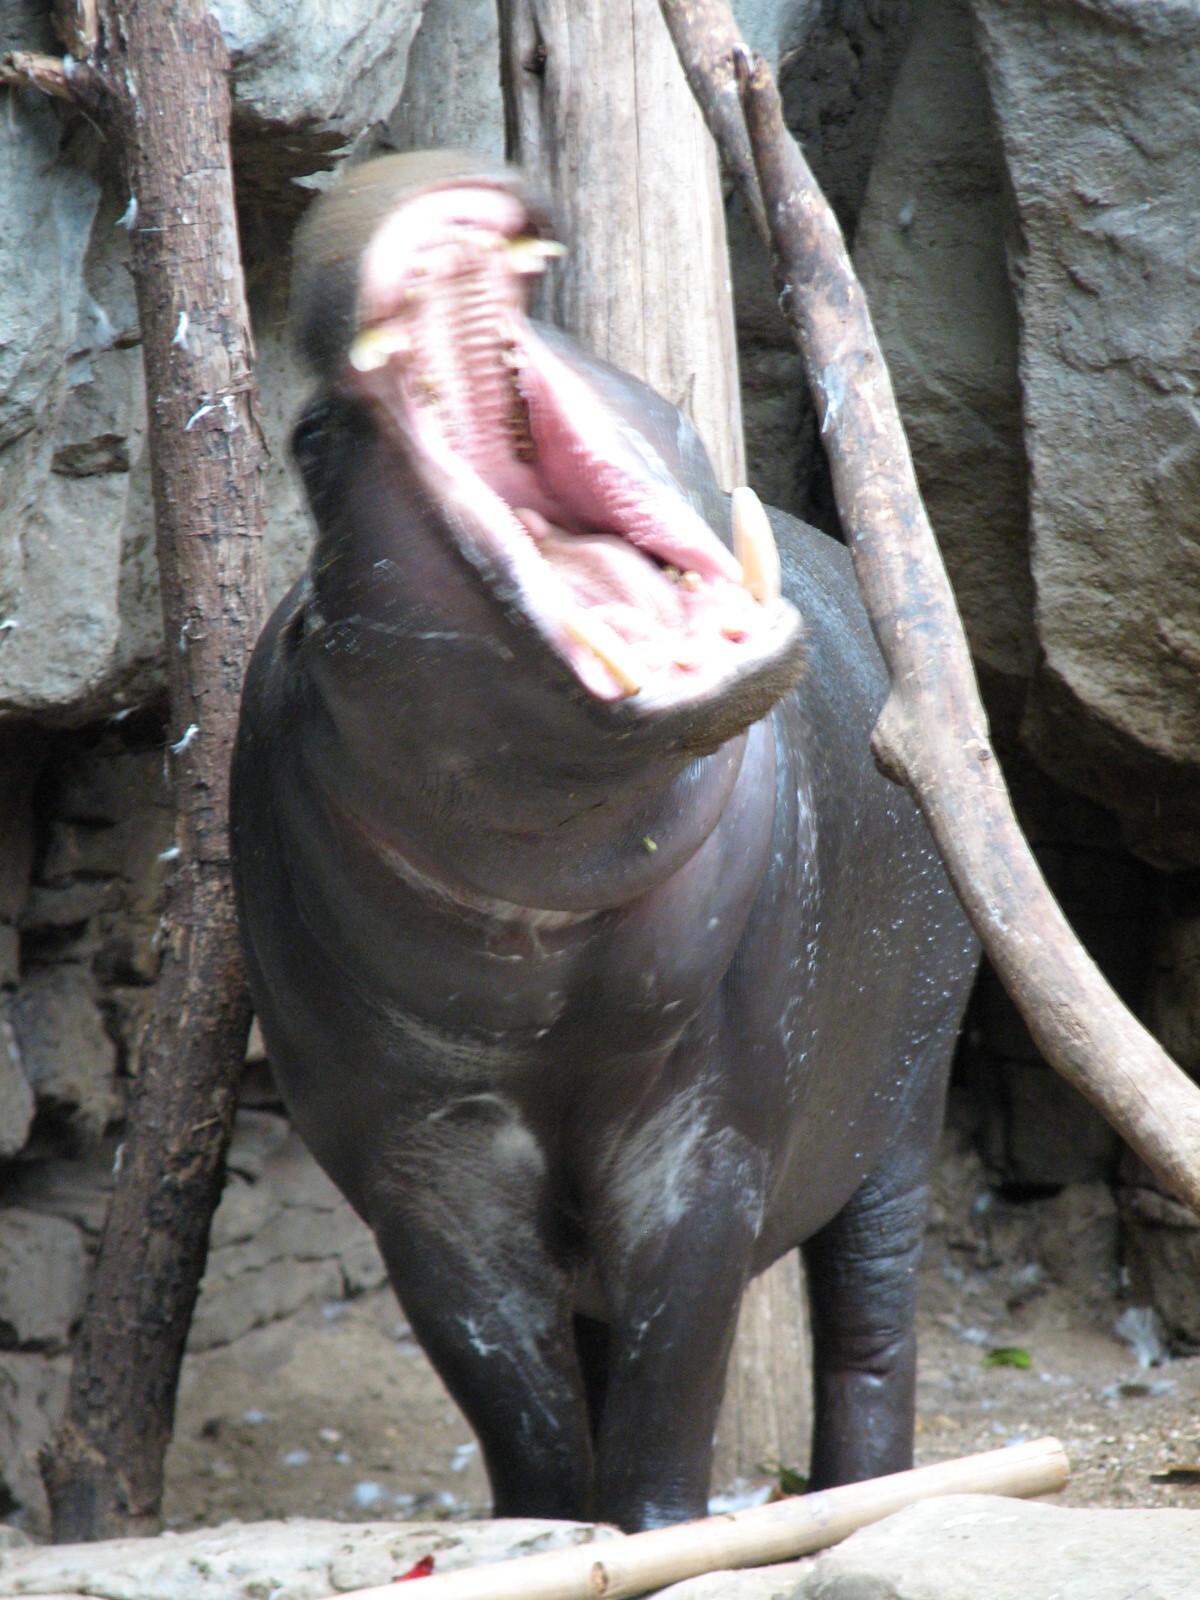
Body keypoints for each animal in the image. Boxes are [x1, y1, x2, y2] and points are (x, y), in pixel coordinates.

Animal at [230, 152, 978, 1533]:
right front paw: (539, 1533)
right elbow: (512, 1393)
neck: (548, 929)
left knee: (871, 1333)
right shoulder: (422, 1167)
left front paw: (653, 1536)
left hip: (905, 1104)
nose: (379, 170)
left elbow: (672, 1370)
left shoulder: (706, 1138)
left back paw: (862, 1498)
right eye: (306, 443)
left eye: (582, 337)